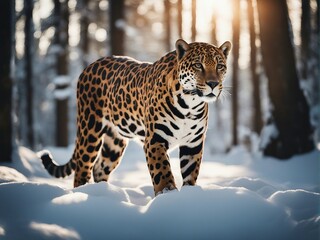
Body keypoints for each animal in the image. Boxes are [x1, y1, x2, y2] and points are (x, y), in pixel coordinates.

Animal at [38, 39, 231, 195]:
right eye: (198, 65)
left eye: (220, 66)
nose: (213, 84)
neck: (190, 105)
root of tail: (90, 65)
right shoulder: (155, 140)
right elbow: (162, 171)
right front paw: (167, 195)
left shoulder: (193, 144)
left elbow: (191, 173)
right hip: (90, 129)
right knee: (82, 168)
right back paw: (83, 193)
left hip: (114, 142)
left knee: (100, 167)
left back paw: (104, 192)